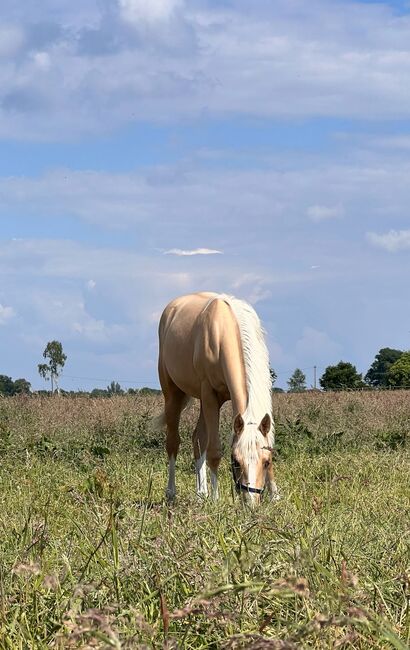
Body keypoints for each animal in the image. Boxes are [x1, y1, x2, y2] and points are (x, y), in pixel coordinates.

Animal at [157, 292, 278, 504]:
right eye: (236, 462)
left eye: (266, 462)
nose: (251, 503)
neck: (225, 332)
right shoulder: (209, 394)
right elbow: (214, 450)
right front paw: (215, 498)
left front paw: (275, 496)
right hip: (173, 394)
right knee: (173, 442)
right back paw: (172, 493)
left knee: (197, 438)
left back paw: (201, 494)